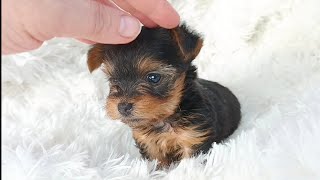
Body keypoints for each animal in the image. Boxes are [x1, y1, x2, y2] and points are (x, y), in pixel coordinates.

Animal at [86, 23, 241, 167]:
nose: (123, 107)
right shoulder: (149, 144)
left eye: (154, 77)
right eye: (113, 81)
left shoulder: (193, 139)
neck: (163, 119)